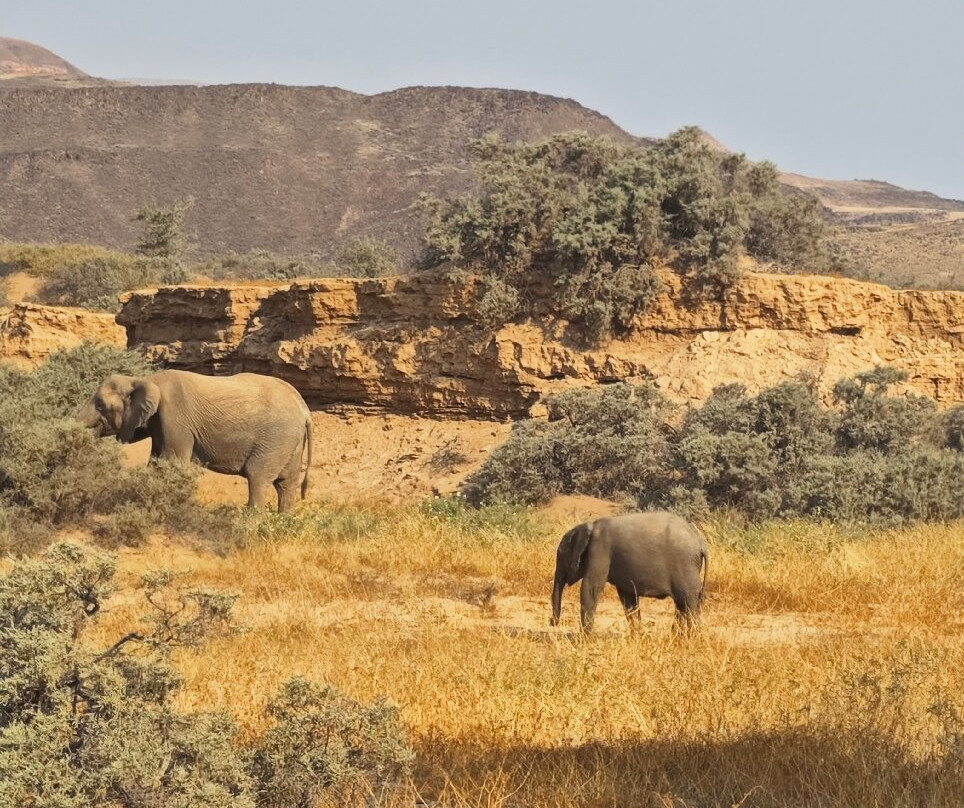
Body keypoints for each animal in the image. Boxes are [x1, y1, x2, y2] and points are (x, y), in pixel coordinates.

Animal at [77, 369, 312, 512]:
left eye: (100, 404)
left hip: (275, 439)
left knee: (258, 477)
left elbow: (174, 462)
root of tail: (305, 410)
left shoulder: (176, 418)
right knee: (286, 484)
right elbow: (156, 461)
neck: (145, 379)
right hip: (289, 442)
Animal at [550, 511, 708, 633]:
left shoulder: (599, 550)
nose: (552, 622)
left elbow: (590, 587)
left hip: (686, 568)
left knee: (689, 604)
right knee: (682, 605)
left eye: (560, 555)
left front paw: (584, 639)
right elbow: (628, 598)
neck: (590, 525)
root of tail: (700, 541)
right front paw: (637, 635)